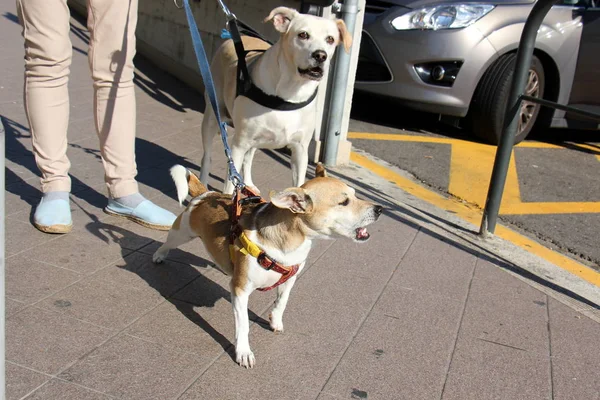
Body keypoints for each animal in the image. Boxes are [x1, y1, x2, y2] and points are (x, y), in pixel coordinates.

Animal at [199, 5, 354, 194]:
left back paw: (248, 183)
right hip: (212, 117)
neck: (290, 91)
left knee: (248, 158)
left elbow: (299, 182)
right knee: (207, 156)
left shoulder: (300, 150)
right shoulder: (238, 146)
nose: (320, 55)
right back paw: (203, 184)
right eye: (303, 35)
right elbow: (230, 185)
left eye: (330, 39)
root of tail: (230, 39)